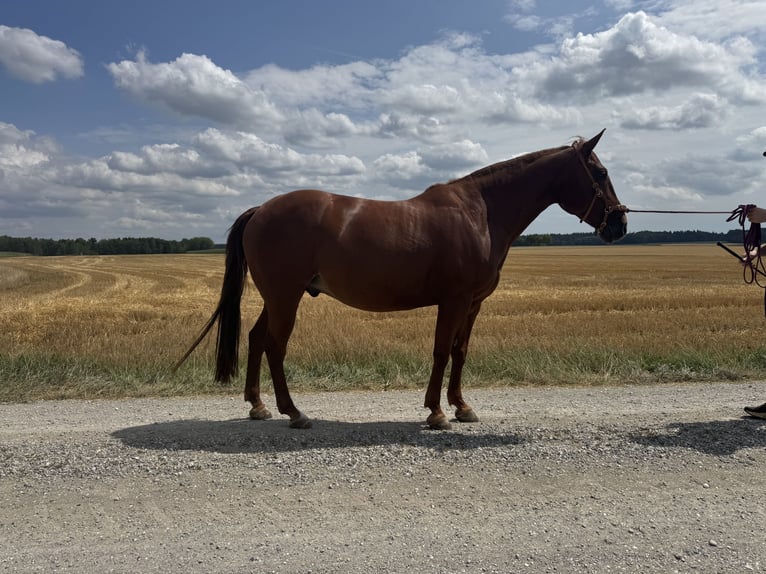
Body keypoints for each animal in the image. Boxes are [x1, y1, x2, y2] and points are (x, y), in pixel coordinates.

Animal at [174, 130, 627, 429]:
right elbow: (441, 351)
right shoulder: (454, 299)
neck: (480, 213)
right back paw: (294, 412)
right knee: (274, 345)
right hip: (286, 296)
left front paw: (462, 407)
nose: (620, 224)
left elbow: (460, 352)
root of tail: (262, 210)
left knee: (255, 339)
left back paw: (258, 406)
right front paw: (437, 412)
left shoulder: (473, 303)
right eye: (600, 172)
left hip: (277, 296)